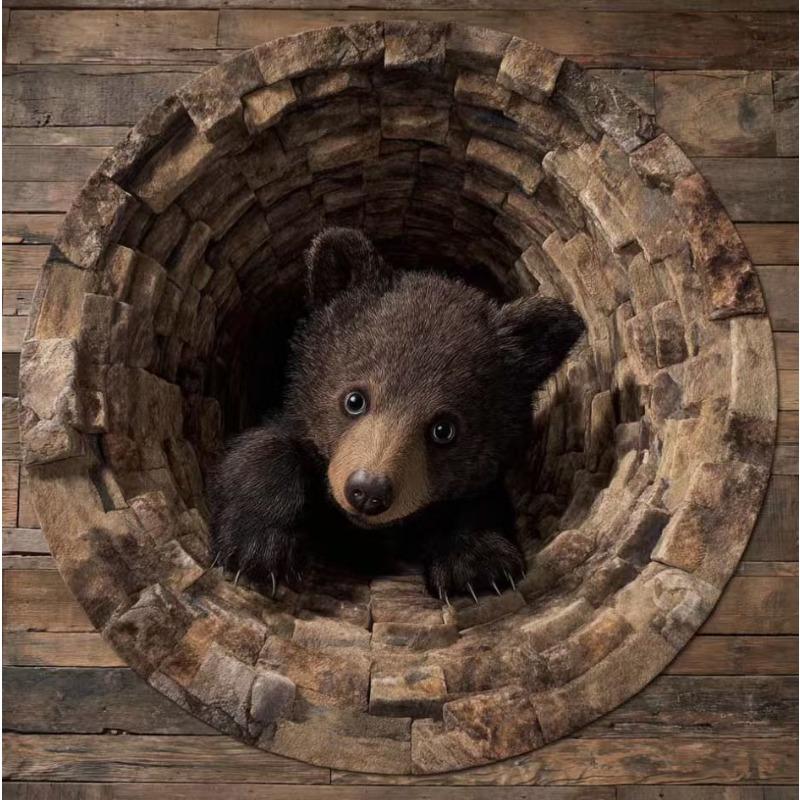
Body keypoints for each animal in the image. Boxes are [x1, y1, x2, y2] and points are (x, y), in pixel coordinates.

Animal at [208, 227, 585, 601]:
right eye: (354, 399)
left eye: (444, 429)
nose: (368, 491)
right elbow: (258, 450)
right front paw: (259, 548)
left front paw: (476, 563)